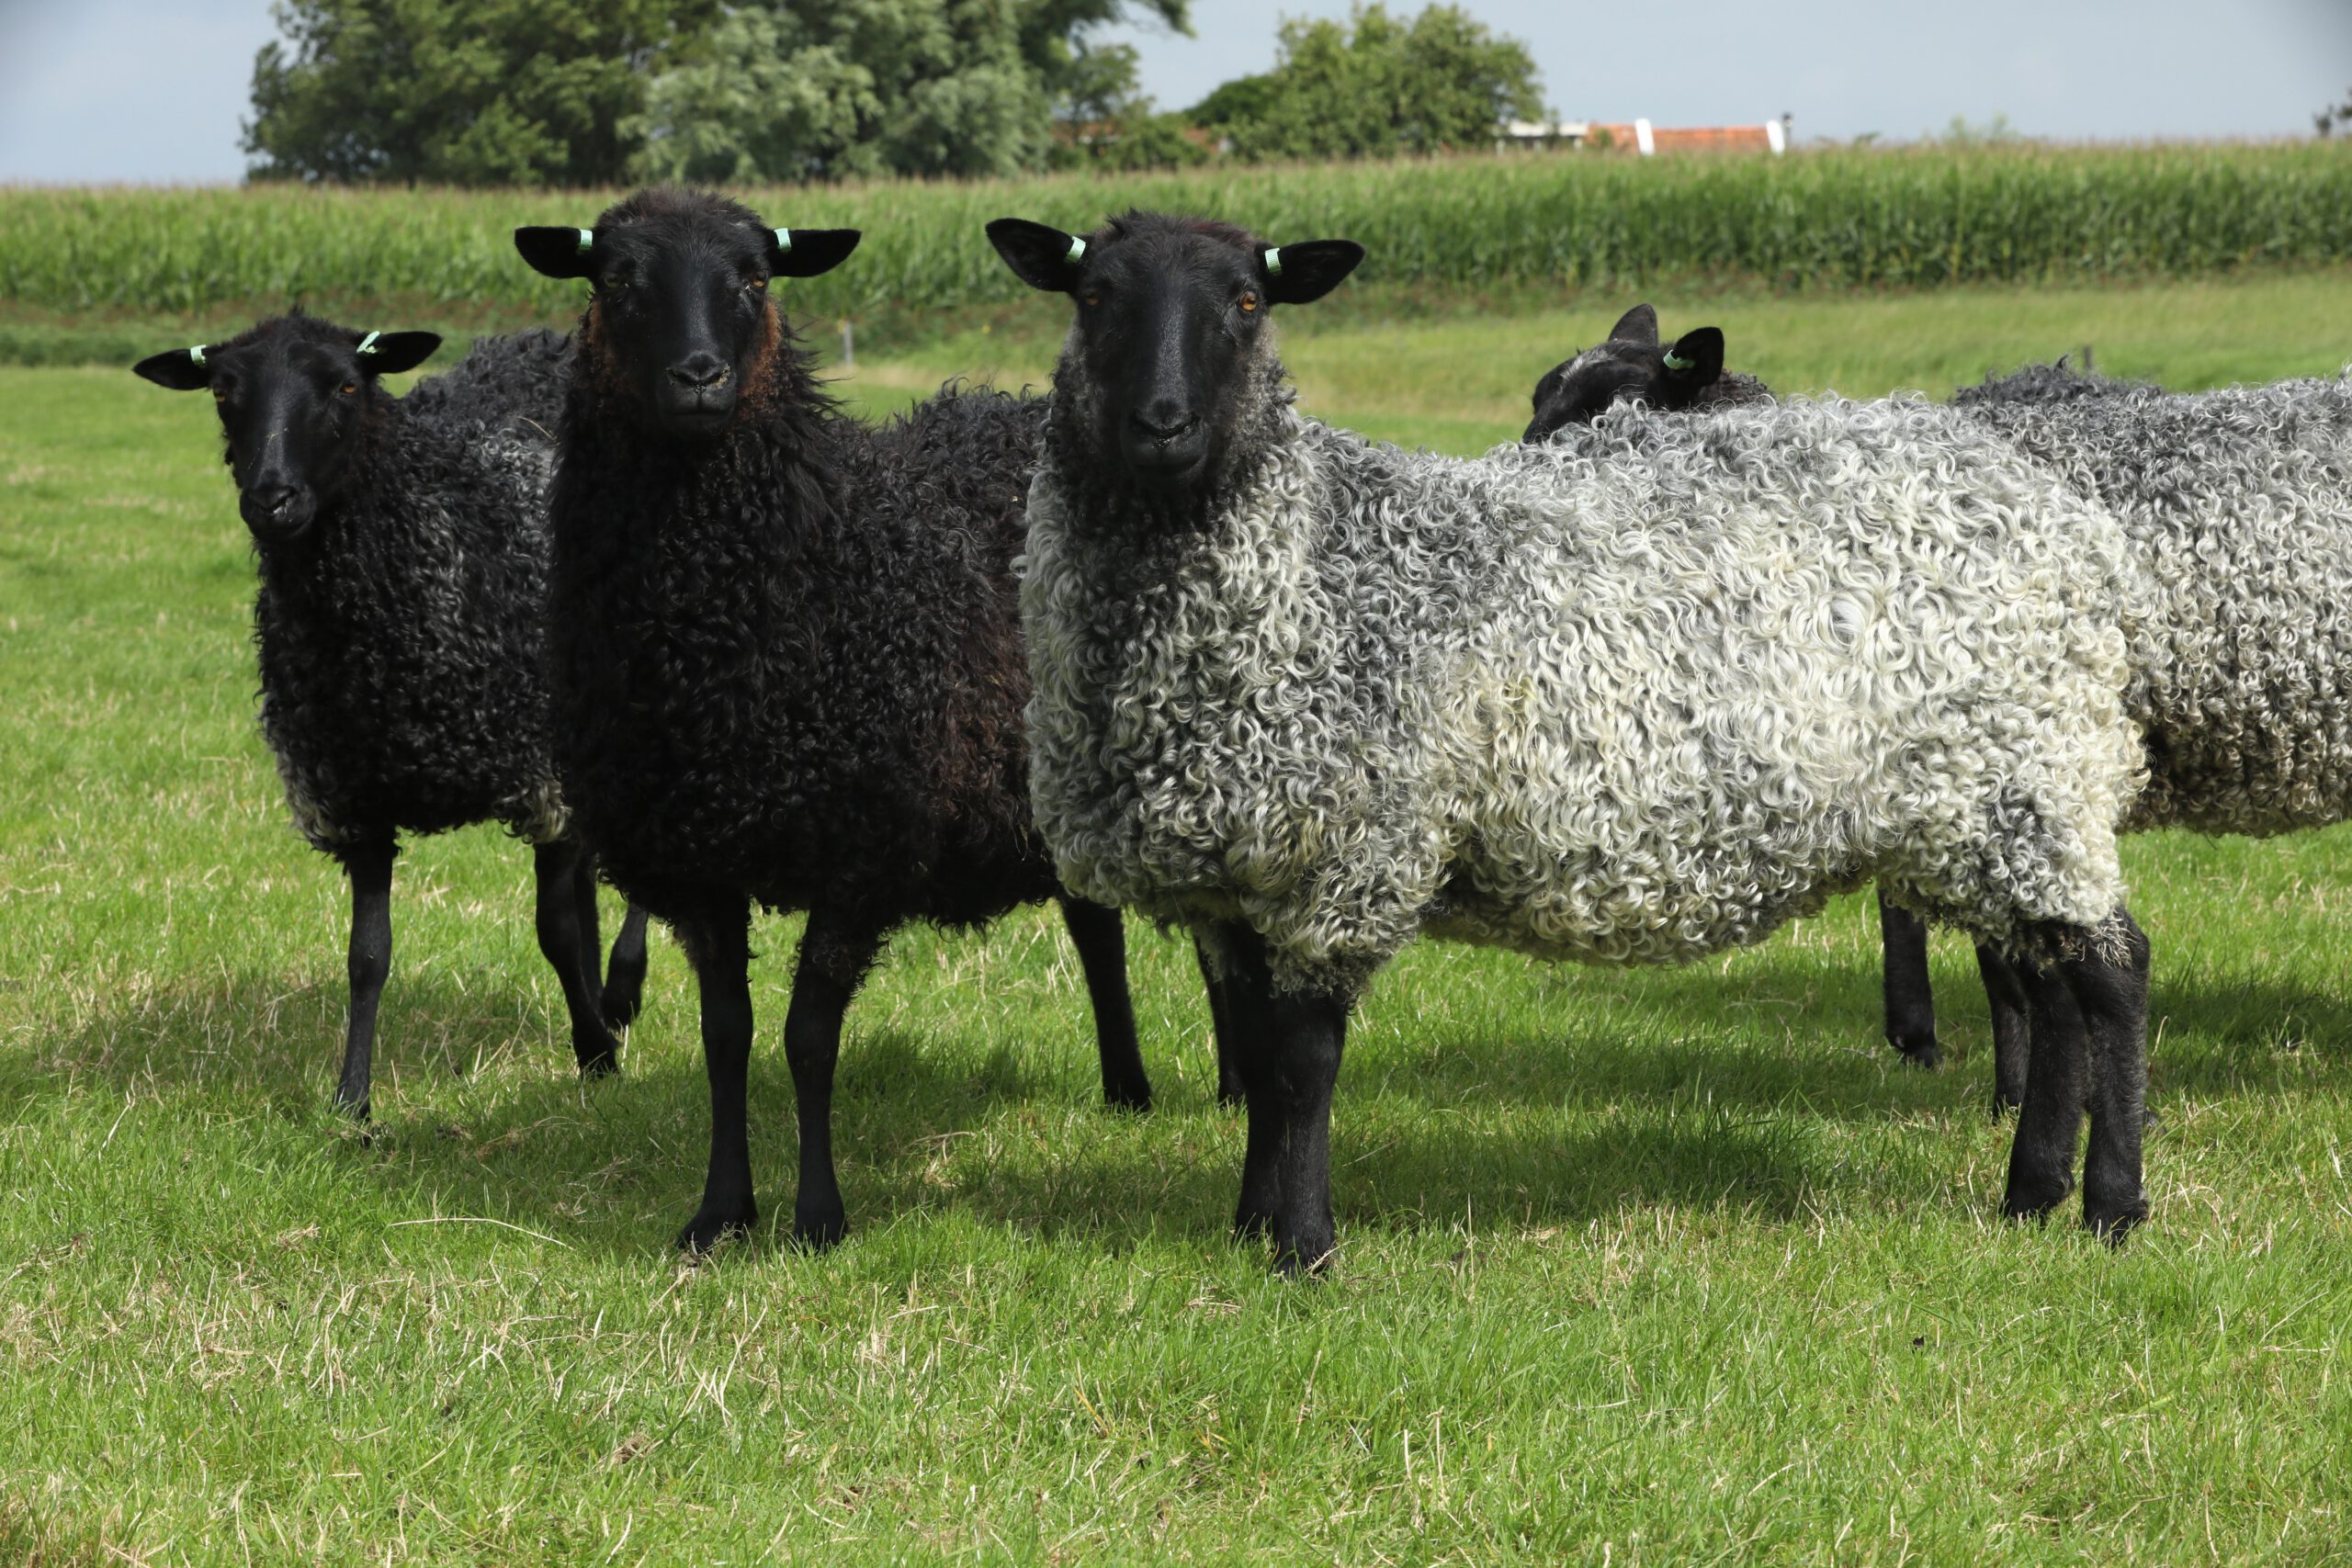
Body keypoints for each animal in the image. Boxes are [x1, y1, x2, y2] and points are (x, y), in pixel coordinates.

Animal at [131, 315, 652, 1117]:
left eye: (348, 385)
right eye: (222, 391)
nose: (271, 499)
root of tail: (550, 339)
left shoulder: (541, 773)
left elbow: (555, 930)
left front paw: (596, 1054)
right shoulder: (357, 796)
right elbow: (367, 956)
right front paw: (352, 1099)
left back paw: (621, 989)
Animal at [513, 188, 1166, 1254]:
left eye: (752, 278)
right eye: (617, 279)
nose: (700, 376)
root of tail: (1010, 405)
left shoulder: (862, 849)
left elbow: (808, 1038)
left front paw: (818, 1215)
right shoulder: (697, 859)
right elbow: (727, 1036)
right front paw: (721, 1212)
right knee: (1093, 926)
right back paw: (1123, 1090)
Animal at [990, 211, 2156, 1272]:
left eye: (1246, 301)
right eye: (1092, 296)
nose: (1164, 423)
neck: (1313, 559)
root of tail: (2058, 516)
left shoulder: (1351, 859)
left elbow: (1304, 1066)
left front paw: (1305, 1250)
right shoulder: (1238, 880)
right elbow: (1258, 1056)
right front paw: (1247, 1226)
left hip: (2024, 775)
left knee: (2110, 969)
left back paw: (2109, 1206)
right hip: (1990, 800)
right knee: (2053, 980)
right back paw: (2030, 1195)